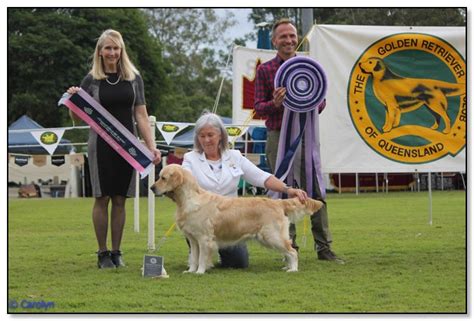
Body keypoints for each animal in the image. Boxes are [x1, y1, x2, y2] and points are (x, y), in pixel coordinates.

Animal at [150, 165, 324, 272]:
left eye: (163, 178)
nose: (151, 188)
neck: (188, 199)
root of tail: (278, 202)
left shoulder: (204, 238)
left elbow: (202, 258)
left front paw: (200, 272)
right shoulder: (193, 239)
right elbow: (194, 257)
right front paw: (191, 271)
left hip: (271, 236)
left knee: (292, 251)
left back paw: (293, 269)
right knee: (288, 252)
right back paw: (288, 267)